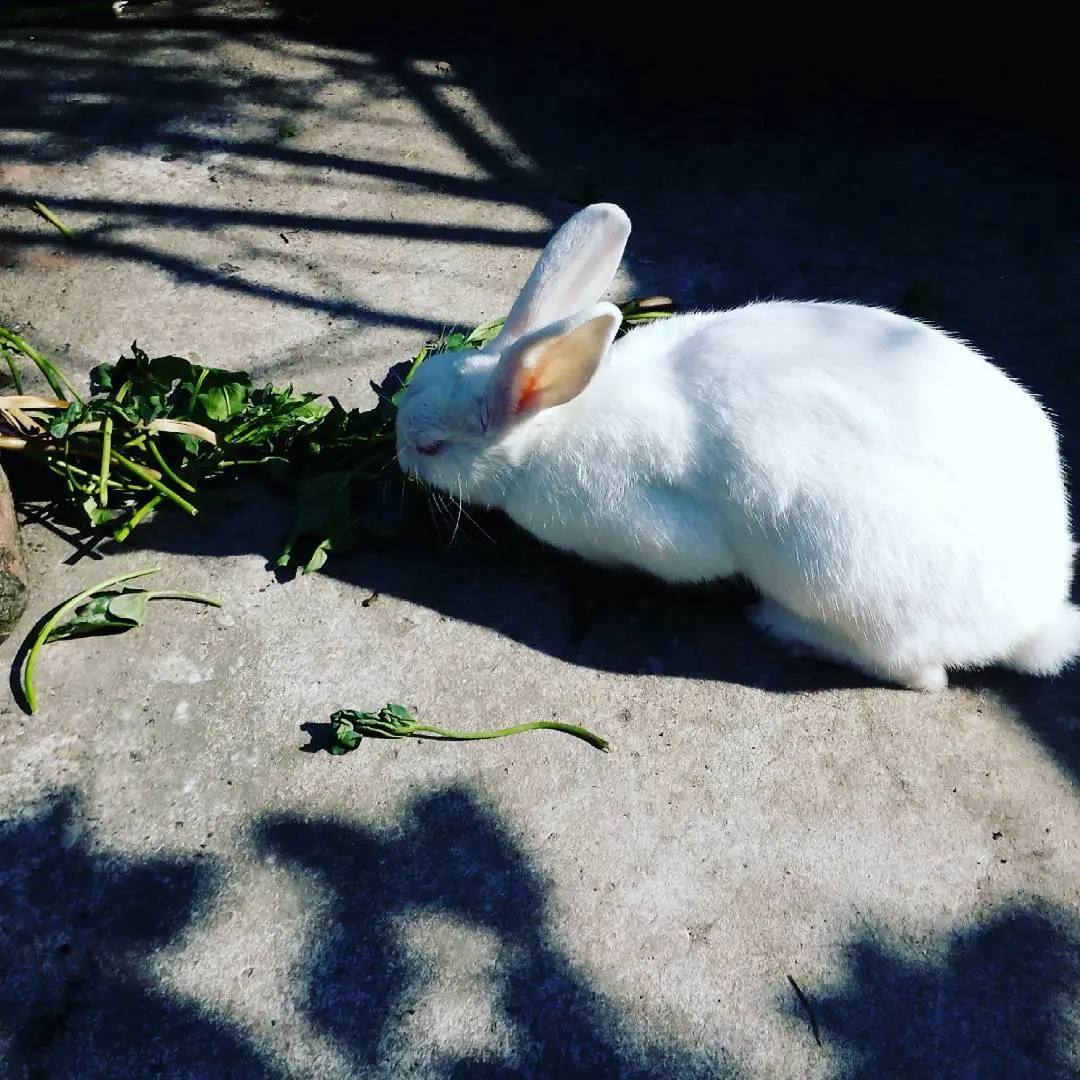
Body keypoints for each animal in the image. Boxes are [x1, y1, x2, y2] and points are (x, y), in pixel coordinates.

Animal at [395, 202, 1080, 690]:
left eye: (431, 447)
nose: (398, 448)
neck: (555, 423)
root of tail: (1034, 615)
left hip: (836, 574)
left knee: (920, 673)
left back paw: (781, 628)